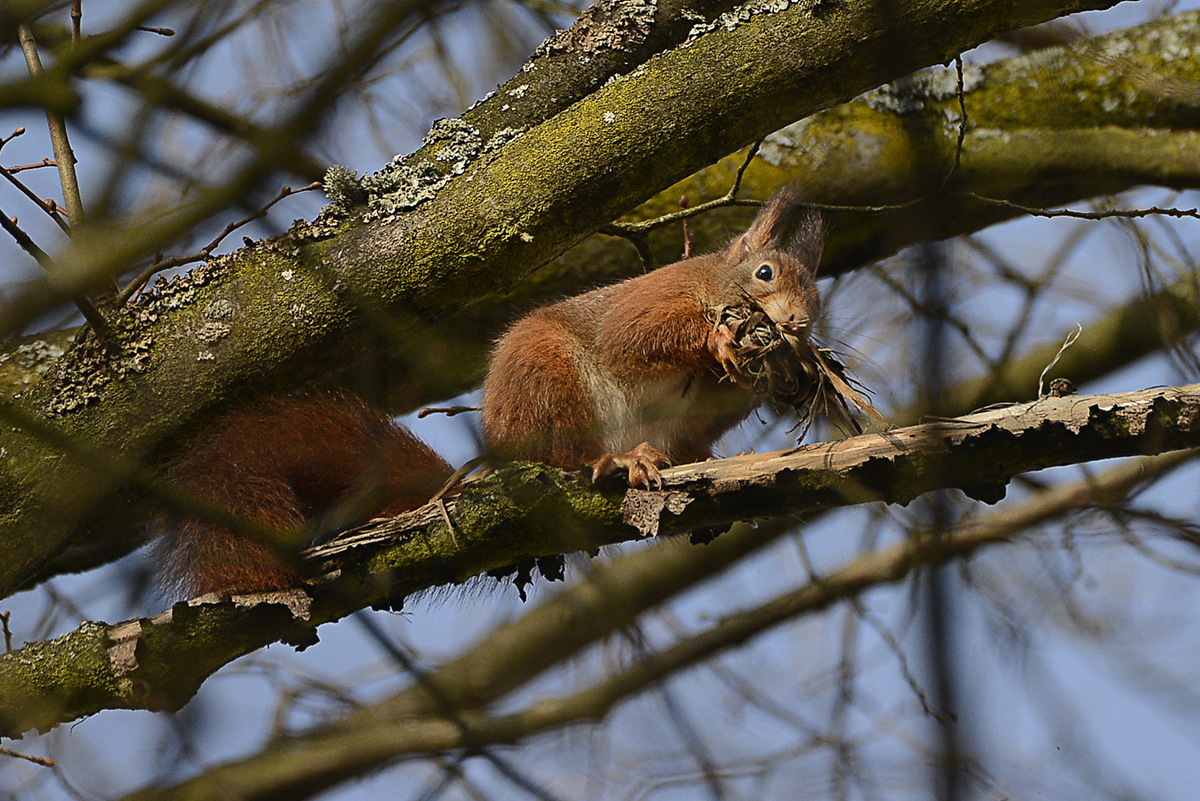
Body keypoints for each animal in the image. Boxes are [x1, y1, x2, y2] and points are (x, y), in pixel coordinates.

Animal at [480, 188, 825, 484]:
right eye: (765, 273)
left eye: (818, 303)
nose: (798, 324)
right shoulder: (658, 293)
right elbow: (632, 335)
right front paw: (718, 340)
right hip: (544, 378)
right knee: (562, 454)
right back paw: (617, 459)